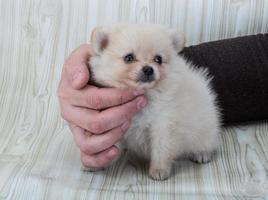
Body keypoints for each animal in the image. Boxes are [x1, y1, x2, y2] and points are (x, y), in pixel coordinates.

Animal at [89, 24, 221, 180]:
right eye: (129, 58)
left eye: (158, 59)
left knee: (206, 142)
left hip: (205, 129)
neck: (146, 96)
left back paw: (201, 154)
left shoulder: (164, 126)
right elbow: (109, 145)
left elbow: (161, 150)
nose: (148, 69)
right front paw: (97, 164)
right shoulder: (116, 124)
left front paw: (159, 170)